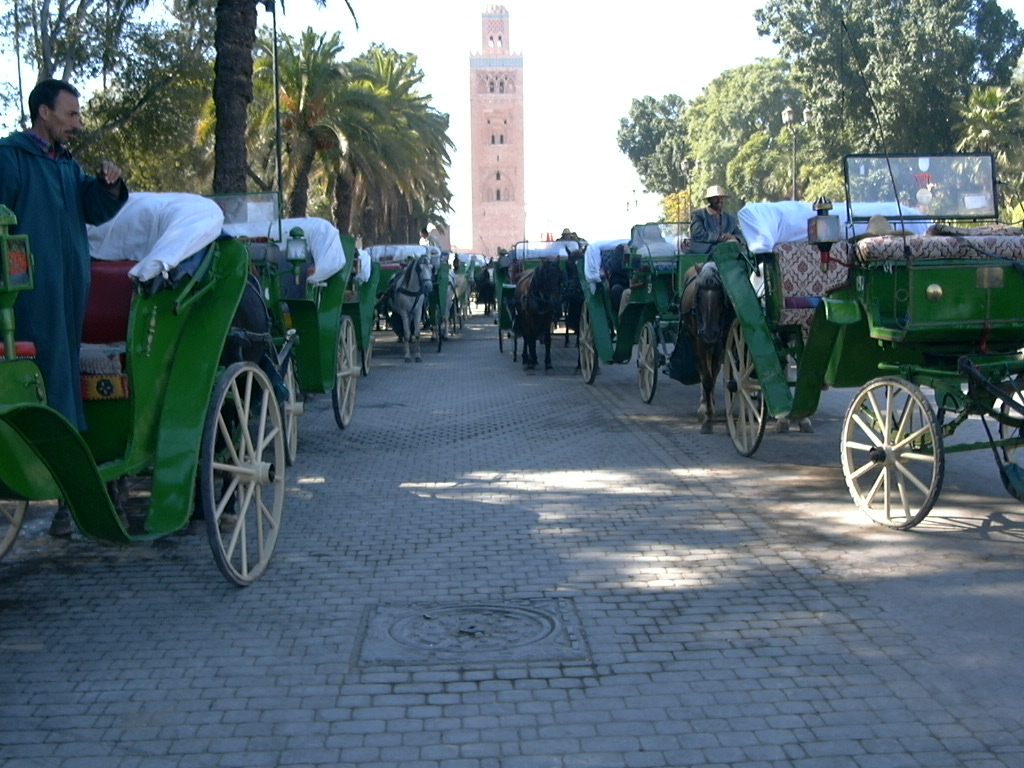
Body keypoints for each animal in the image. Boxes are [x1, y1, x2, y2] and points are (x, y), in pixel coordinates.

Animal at [684, 264, 733, 434]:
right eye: (699, 296)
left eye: (721, 296)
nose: (710, 333)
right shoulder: (700, 341)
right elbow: (706, 379)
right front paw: (708, 418)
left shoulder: (724, 339)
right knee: (704, 371)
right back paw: (704, 406)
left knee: (715, 369)